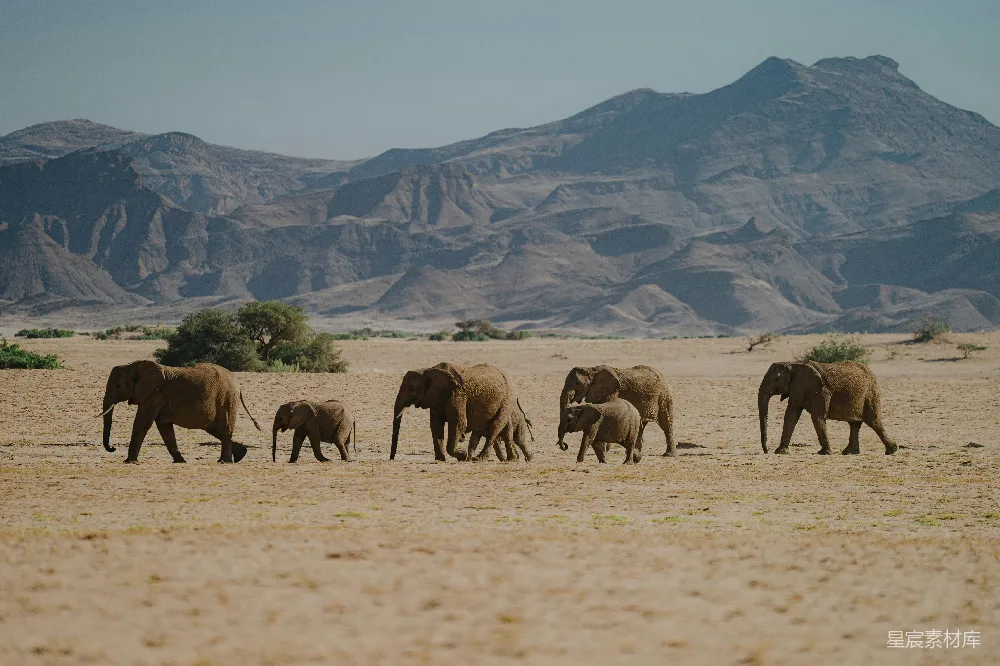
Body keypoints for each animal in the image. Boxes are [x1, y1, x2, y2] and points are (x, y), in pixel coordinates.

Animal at [100, 361, 261, 463]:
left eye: (118, 385)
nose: (112, 448)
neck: (132, 366)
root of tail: (238, 385)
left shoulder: (154, 394)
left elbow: (142, 423)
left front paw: (129, 462)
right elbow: (164, 427)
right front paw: (180, 461)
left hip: (227, 399)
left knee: (224, 429)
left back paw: (224, 462)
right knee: (216, 429)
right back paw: (240, 455)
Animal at [758, 361, 898, 455]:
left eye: (776, 379)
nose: (766, 451)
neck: (793, 364)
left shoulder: (821, 391)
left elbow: (817, 417)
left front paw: (824, 453)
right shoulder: (797, 389)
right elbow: (791, 416)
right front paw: (780, 451)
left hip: (870, 393)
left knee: (874, 421)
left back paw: (891, 451)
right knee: (855, 424)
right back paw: (849, 452)